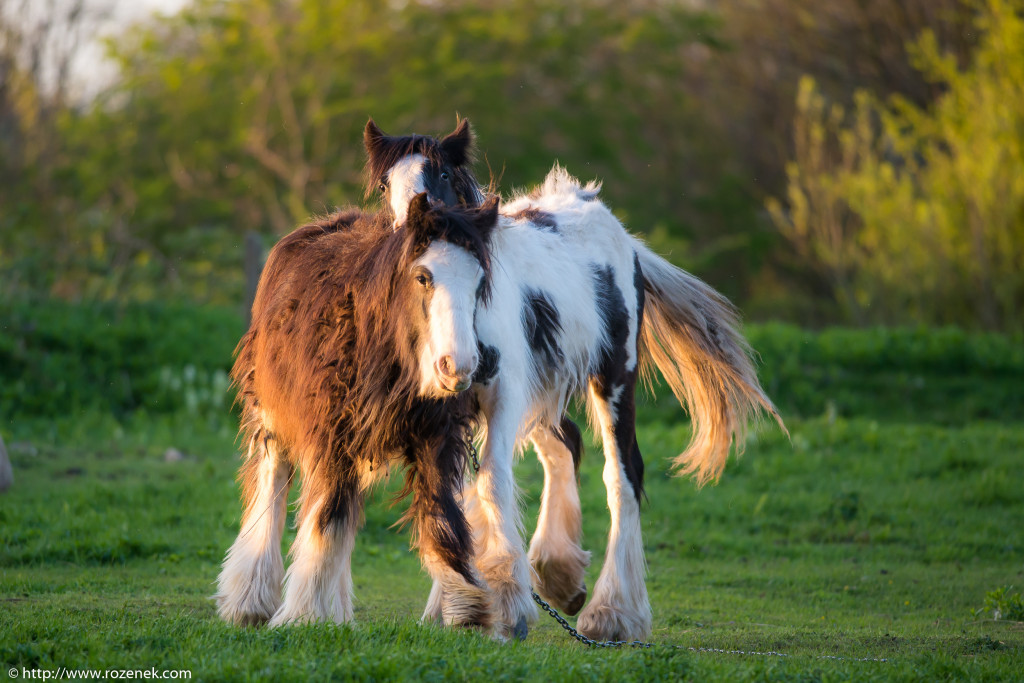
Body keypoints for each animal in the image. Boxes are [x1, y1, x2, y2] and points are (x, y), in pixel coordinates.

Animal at [216, 192, 499, 630]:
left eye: (479, 282)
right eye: (423, 277)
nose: (459, 368)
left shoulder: (438, 436)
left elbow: (441, 516)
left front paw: (465, 609)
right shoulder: (331, 434)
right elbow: (327, 517)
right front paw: (305, 615)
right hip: (271, 418)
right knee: (273, 487)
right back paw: (250, 601)